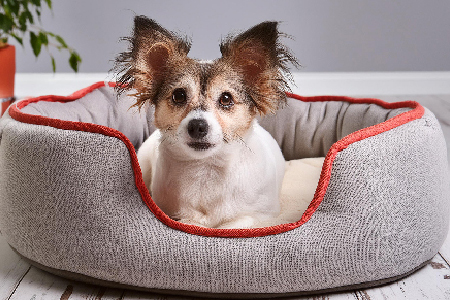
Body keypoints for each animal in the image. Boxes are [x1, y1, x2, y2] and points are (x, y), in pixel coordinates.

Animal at [115, 15, 298, 227]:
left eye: (226, 98)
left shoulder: (262, 216)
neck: (205, 170)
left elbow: (232, 224)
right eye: (178, 95)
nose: (197, 126)